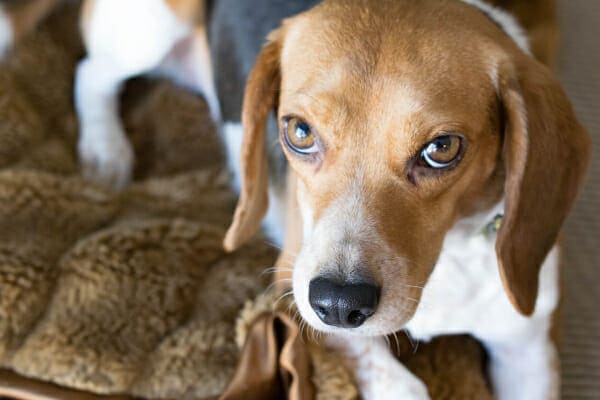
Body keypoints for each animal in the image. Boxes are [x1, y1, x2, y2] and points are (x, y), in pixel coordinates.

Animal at [1, 0, 592, 400]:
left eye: (442, 148)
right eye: (299, 132)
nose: (338, 303)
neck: (446, 261)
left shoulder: (527, 348)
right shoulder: (296, 286)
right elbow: (399, 383)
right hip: (149, 27)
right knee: (89, 73)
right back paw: (105, 151)